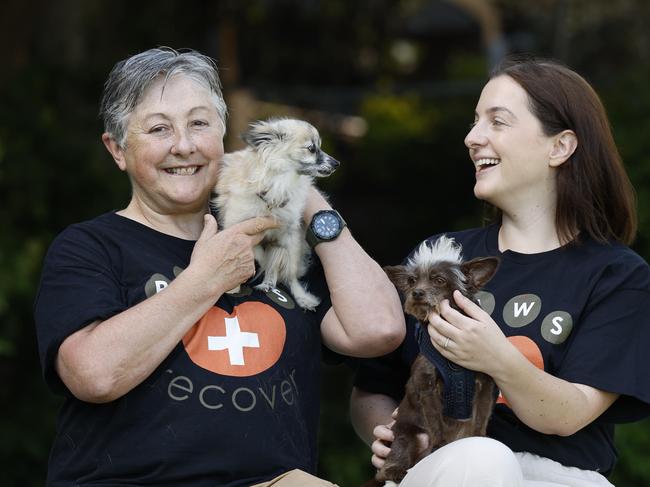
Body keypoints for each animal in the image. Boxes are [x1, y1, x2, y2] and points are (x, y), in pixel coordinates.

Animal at [214, 117, 340, 308]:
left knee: (288, 272)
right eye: (312, 148)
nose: (336, 163)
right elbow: (256, 254)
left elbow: (283, 269)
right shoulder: (237, 228)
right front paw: (233, 288)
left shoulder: (288, 235)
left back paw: (294, 294)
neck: (280, 182)